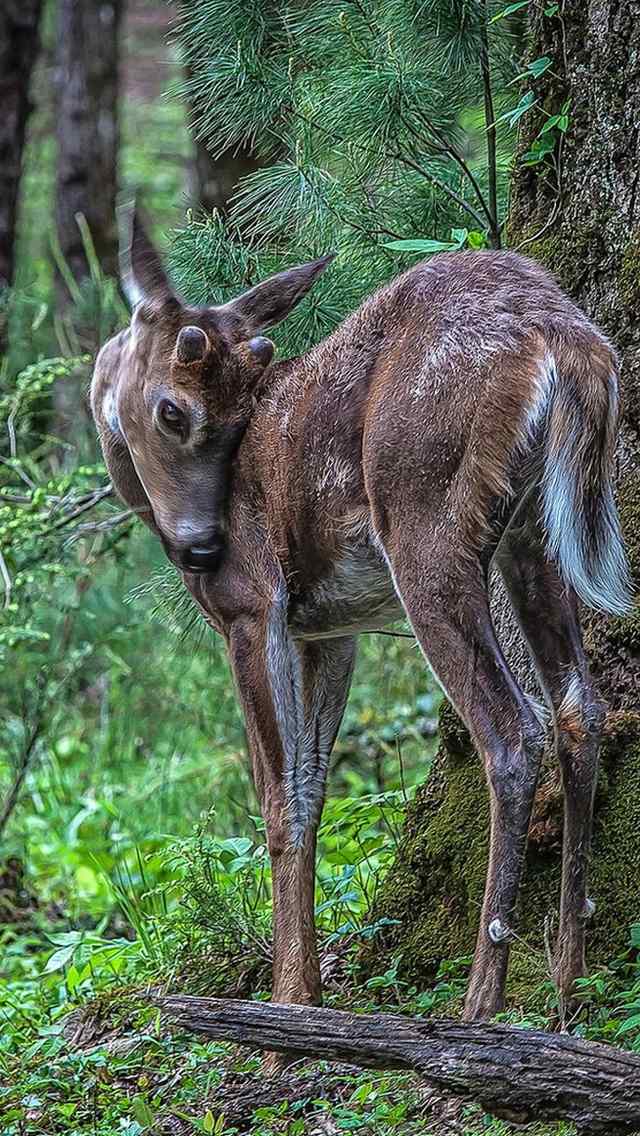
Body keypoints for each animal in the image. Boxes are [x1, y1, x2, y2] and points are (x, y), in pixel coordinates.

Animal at [91, 209, 636, 1036]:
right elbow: (315, 788)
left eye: (174, 409)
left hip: (424, 518)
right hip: (534, 532)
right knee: (580, 707)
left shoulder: (257, 608)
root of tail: (568, 338)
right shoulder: (329, 629)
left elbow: (280, 799)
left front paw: (284, 1022)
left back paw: (480, 1002)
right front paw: (306, 998)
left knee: (512, 728)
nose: (204, 548)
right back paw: (566, 991)